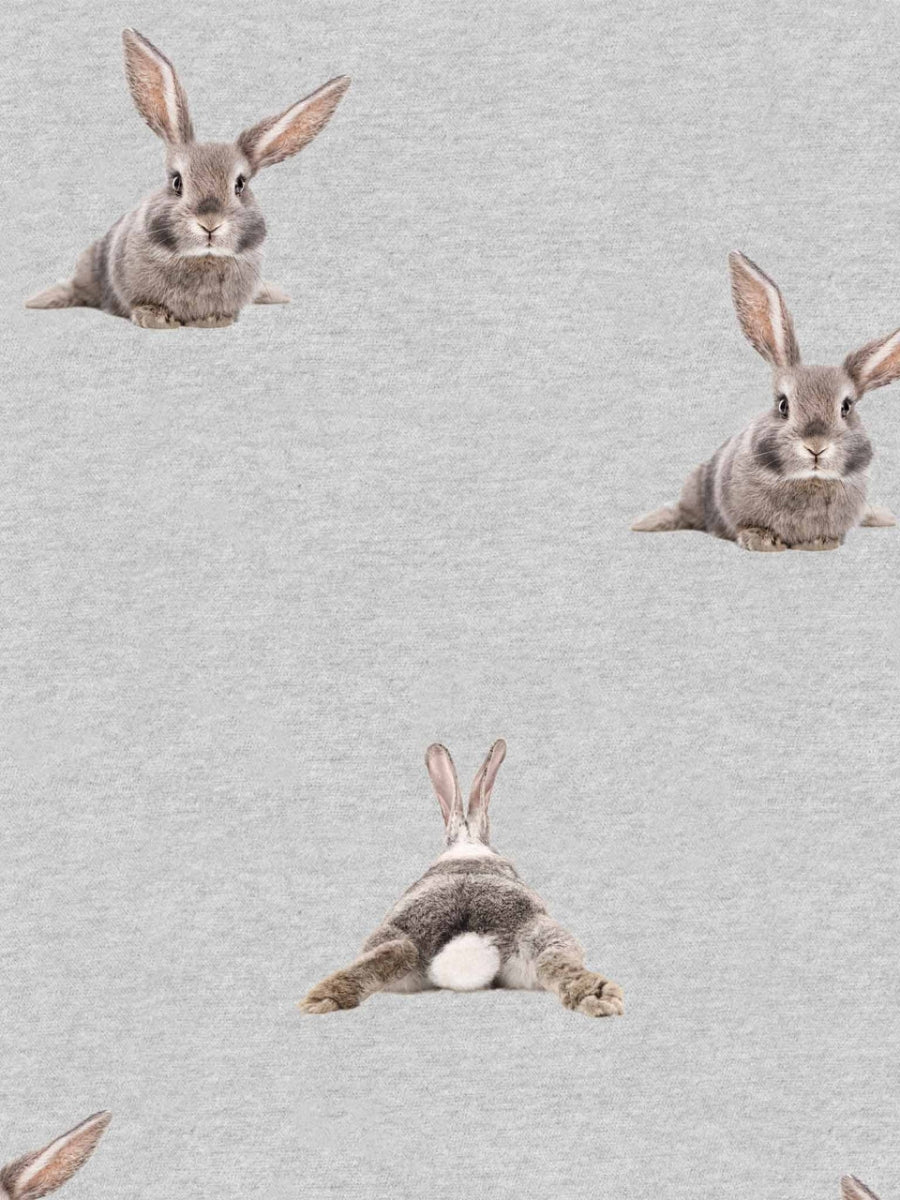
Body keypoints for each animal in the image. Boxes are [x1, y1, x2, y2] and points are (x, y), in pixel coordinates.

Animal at [25, 29, 349, 329]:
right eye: (177, 182)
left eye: (240, 185)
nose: (210, 223)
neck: (201, 258)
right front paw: (154, 319)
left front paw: (214, 320)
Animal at [299, 740, 624, 1018]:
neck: (467, 846)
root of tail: (467, 942)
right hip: (543, 933)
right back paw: (600, 996)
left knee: (397, 951)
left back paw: (321, 1000)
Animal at [632, 252, 899, 550]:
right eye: (783, 405)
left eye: (846, 407)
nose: (815, 447)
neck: (807, 480)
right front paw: (761, 542)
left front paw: (820, 542)